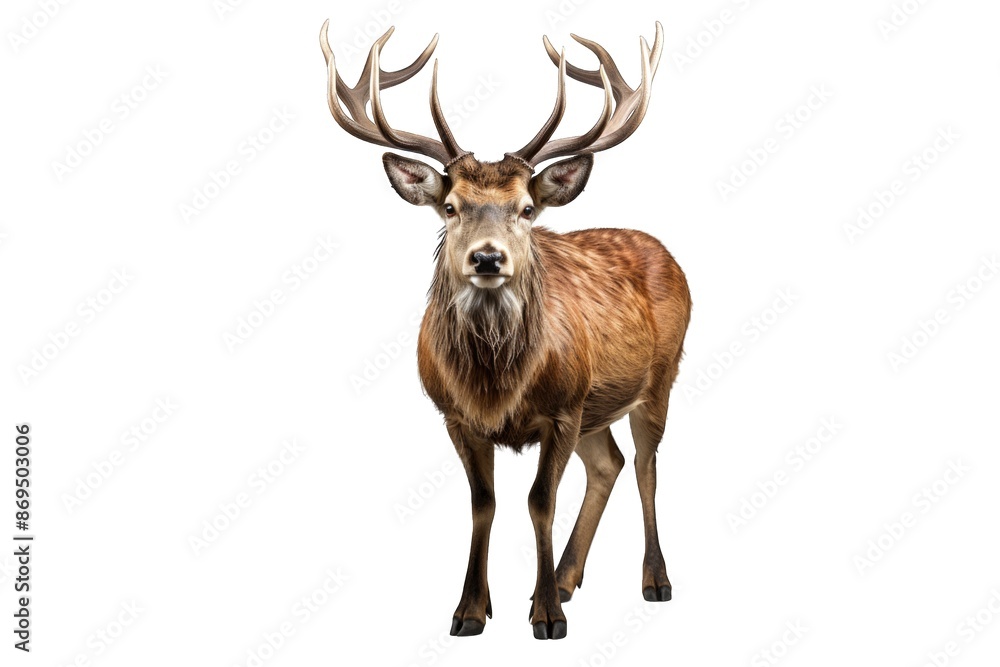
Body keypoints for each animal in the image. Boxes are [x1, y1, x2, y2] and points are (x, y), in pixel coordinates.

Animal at [320, 19, 690, 640]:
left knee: (645, 464)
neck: (496, 385)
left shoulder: (562, 409)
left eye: (526, 209)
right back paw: (566, 577)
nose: (488, 258)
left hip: (659, 378)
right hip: (595, 405)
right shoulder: (455, 414)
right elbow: (483, 503)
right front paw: (470, 609)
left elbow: (540, 500)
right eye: (449, 206)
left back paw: (654, 581)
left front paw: (546, 617)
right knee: (608, 464)